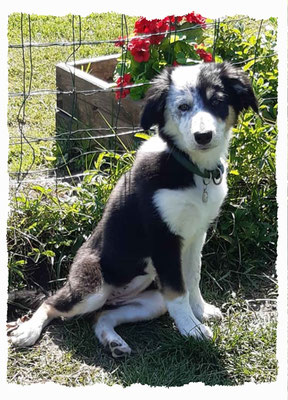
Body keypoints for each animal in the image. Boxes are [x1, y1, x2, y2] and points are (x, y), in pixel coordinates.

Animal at [7, 61, 258, 356]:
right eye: (183, 107)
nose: (203, 136)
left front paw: (201, 311)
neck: (188, 166)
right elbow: (179, 292)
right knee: (51, 303)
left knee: (102, 316)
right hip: (93, 289)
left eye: (217, 102)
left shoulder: (197, 235)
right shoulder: (163, 240)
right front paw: (192, 329)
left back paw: (113, 342)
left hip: (151, 301)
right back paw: (28, 331)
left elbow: (192, 277)